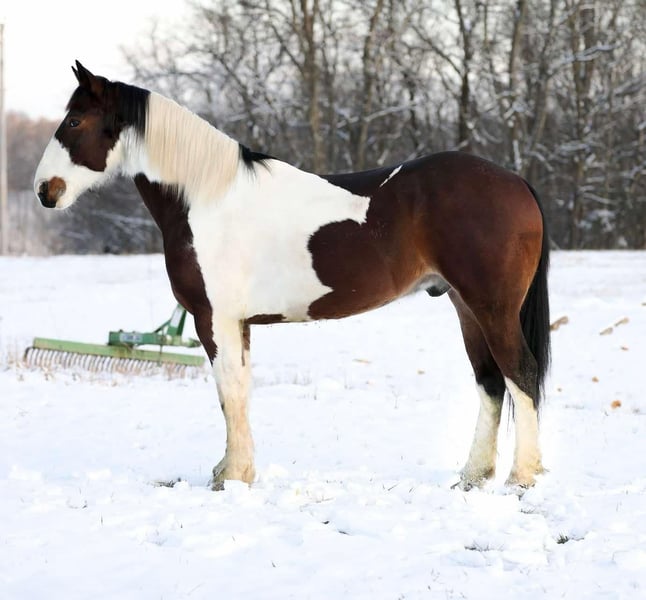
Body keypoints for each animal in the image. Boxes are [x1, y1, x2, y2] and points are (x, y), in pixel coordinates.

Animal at [34, 61, 550, 491]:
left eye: (74, 122)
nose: (44, 191)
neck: (207, 197)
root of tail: (514, 181)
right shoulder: (236, 324)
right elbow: (238, 392)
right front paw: (231, 469)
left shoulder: (214, 320)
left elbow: (229, 390)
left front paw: (234, 476)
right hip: (466, 306)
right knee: (490, 381)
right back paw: (472, 476)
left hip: (492, 307)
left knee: (519, 373)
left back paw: (520, 478)